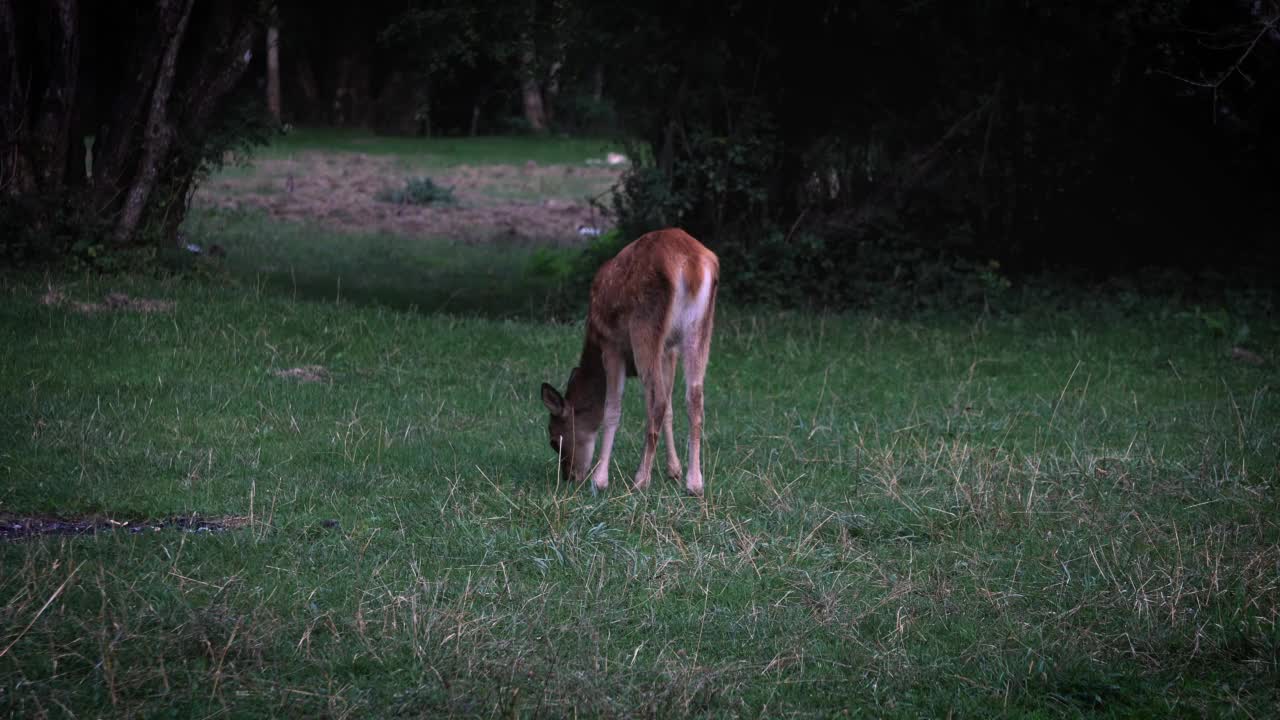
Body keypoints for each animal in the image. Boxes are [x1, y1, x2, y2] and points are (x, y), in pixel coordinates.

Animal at [540, 228, 721, 491]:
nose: (569, 477)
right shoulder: (669, 349)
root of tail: (692, 266)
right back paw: (695, 482)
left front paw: (600, 479)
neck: (593, 338)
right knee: (693, 398)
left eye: (555, 440)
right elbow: (669, 408)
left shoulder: (611, 343)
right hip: (699, 329)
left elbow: (612, 408)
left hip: (644, 327)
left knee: (658, 401)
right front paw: (674, 470)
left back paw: (641, 480)